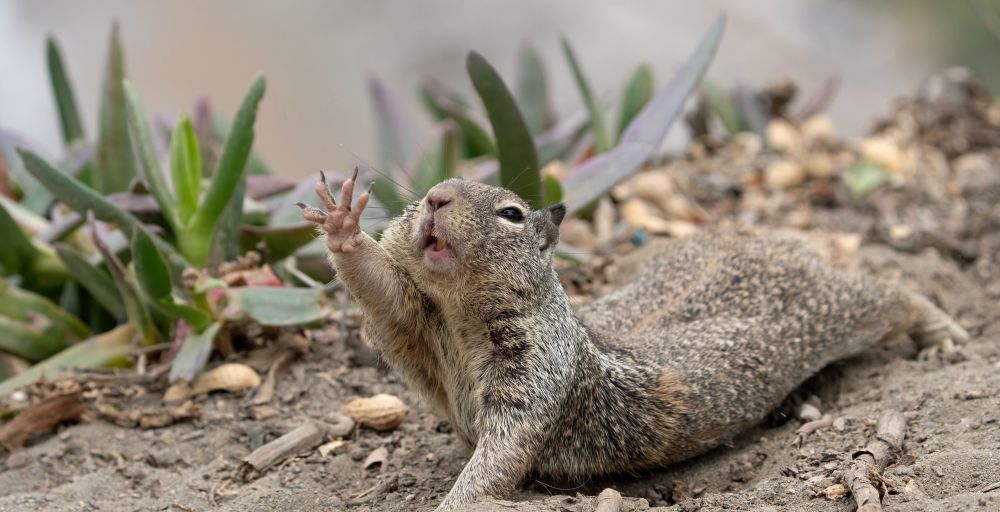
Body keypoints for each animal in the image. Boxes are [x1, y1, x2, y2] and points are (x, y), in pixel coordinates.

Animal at [298, 172, 968, 510]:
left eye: (511, 213)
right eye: (438, 184)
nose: (436, 199)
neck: (460, 314)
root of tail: (766, 239)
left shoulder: (537, 370)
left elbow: (503, 454)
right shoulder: (416, 323)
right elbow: (381, 290)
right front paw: (343, 228)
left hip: (838, 311)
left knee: (891, 295)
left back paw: (942, 331)